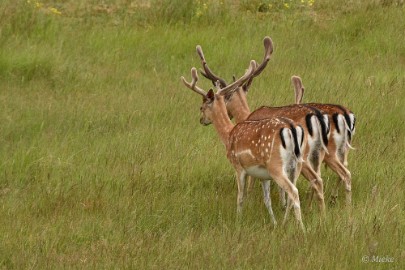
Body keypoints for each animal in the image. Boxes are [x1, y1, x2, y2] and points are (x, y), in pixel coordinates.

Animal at [181, 60, 304, 230]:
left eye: (201, 107)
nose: (201, 120)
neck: (228, 135)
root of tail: (291, 129)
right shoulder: (263, 176)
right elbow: (267, 200)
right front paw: (273, 222)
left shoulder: (238, 166)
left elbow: (240, 197)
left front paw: (238, 220)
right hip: (296, 165)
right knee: (293, 193)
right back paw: (285, 222)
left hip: (276, 165)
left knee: (294, 192)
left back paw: (302, 228)